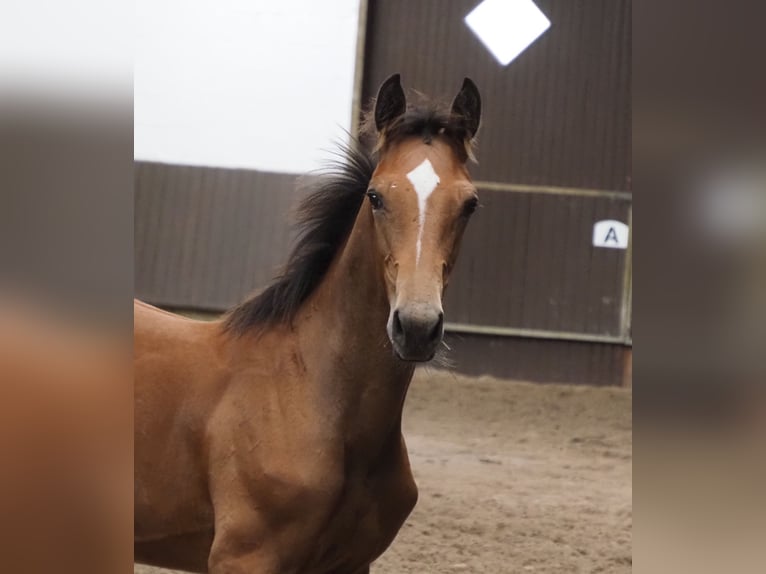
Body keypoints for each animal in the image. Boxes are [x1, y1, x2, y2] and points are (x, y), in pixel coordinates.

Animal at [132, 76, 480, 574]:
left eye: (469, 204)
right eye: (376, 196)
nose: (416, 326)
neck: (305, 390)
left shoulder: (351, 564)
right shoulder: (245, 558)